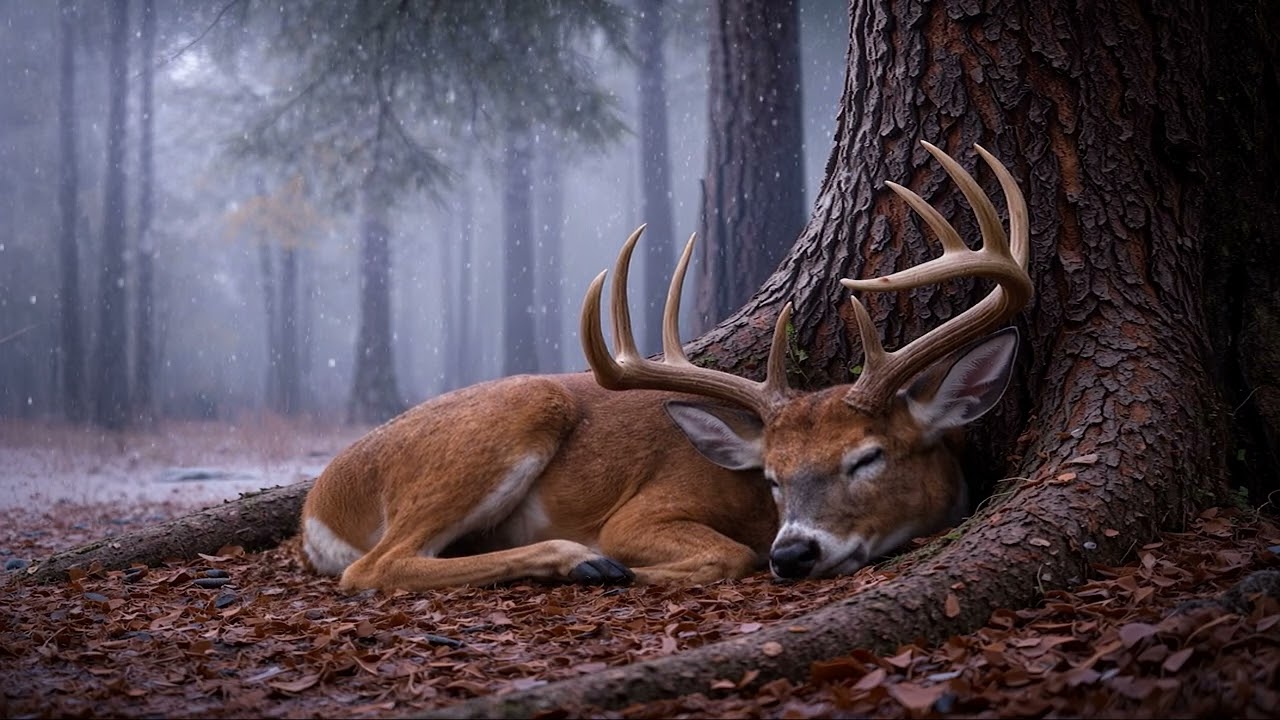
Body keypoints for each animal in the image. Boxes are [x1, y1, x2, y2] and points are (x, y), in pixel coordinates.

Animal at [300, 141, 1031, 591]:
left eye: (868, 456)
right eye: (772, 475)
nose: (793, 552)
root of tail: (319, 503)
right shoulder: (643, 511)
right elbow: (727, 554)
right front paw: (621, 567)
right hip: (513, 415)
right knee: (375, 567)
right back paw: (580, 562)